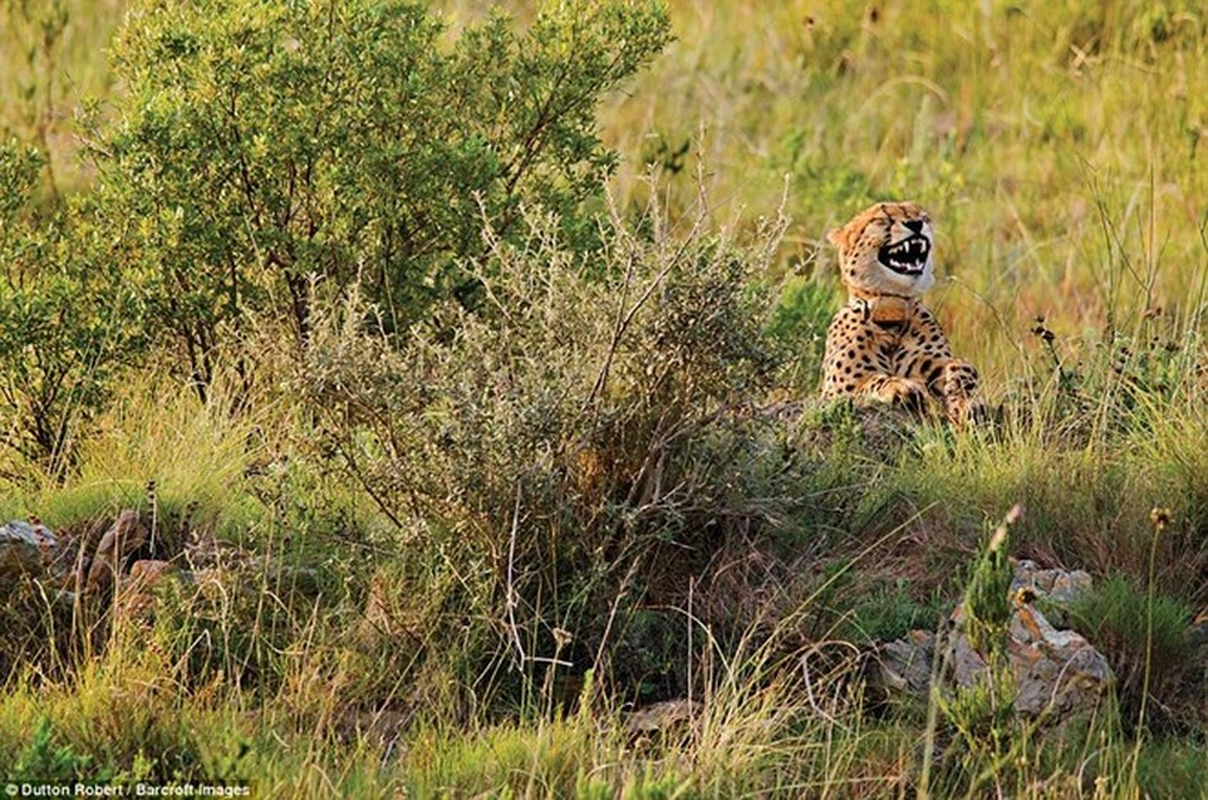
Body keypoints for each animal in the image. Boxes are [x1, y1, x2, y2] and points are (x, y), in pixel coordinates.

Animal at [821, 200, 980, 425]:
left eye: (921, 216)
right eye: (882, 218)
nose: (916, 224)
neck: (891, 309)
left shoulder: (932, 362)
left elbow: (964, 367)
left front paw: (961, 387)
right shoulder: (835, 393)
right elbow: (871, 381)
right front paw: (901, 387)